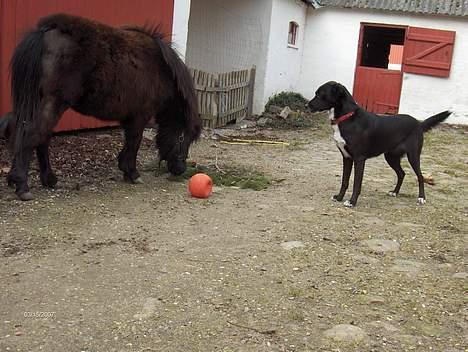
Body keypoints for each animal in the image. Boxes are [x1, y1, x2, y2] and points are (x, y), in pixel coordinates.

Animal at [7, 13, 200, 201]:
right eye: (184, 137)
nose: (180, 169)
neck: (160, 69)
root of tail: (45, 31)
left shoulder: (130, 118)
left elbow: (129, 142)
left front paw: (125, 169)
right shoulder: (140, 116)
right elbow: (134, 142)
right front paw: (133, 173)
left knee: (35, 136)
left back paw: (45, 179)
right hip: (53, 104)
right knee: (32, 135)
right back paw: (22, 186)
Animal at [306, 81, 452, 208]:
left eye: (320, 94)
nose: (306, 106)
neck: (347, 117)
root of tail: (418, 123)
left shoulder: (359, 159)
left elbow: (356, 183)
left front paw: (352, 202)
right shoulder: (346, 157)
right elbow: (344, 181)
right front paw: (339, 197)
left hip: (413, 156)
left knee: (420, 176)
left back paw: (421, 198)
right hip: (391, 157)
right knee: (402, 173)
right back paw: (395, 192)